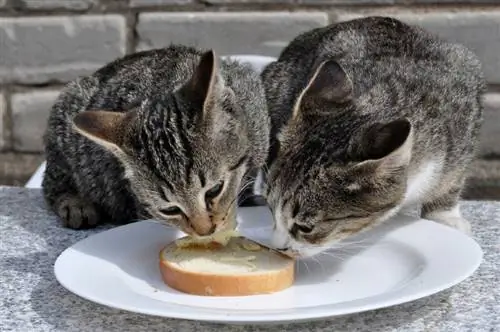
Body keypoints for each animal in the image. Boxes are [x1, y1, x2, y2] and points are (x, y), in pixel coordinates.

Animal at [43, 44, 270, 236]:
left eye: (214, 191)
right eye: (170, 209)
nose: (205, 232)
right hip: (66, 119)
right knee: (52, 183)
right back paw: (75, 204)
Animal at [262, 16, 484, 258]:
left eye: (305, 227)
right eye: (270, 209)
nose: (277, 247)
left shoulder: (465, 124)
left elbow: (453, 180)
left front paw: (443, 216)